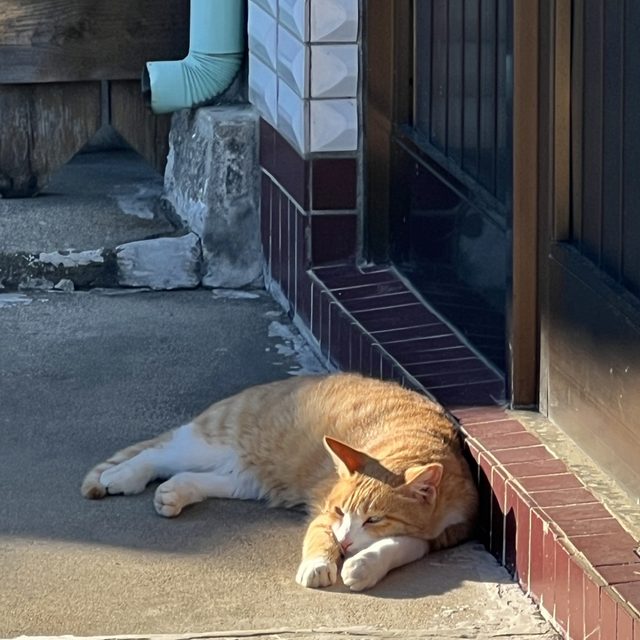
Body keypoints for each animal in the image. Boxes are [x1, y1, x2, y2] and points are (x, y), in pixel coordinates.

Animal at [81, 376, 476, 592]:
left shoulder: (445, 534)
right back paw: (122, 477)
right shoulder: (324, 515)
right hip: (210, 444)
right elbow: (320, 537)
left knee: (201, 477)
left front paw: (364, 565)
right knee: (159, 453)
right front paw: (320, 564)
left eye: (374, 519)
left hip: (247, 478)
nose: (346, 543)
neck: (413, 442)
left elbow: (403, 544)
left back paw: (174, 493)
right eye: (339, 511)